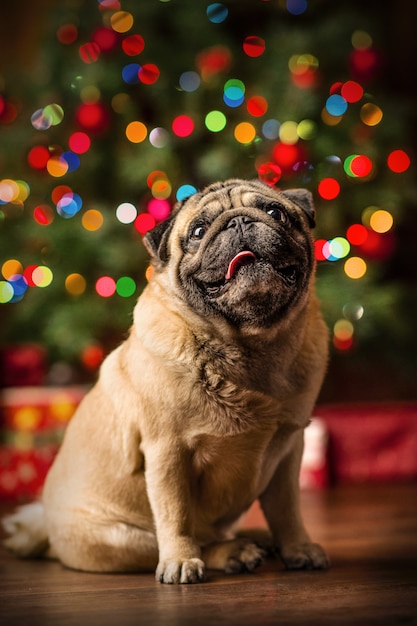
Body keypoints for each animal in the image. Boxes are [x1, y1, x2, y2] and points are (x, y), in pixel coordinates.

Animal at [2, 178, 328, 584]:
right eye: (199, 232)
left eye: (275, 213)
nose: (238, 221)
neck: (250, 347)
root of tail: (44, 526)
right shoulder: (167, 452)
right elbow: (176, 516)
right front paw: (181, 561)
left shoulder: (288, 450)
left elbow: (287, 511)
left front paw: (298, 547)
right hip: (120, 539)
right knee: (193, 539)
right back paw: (232, 551)